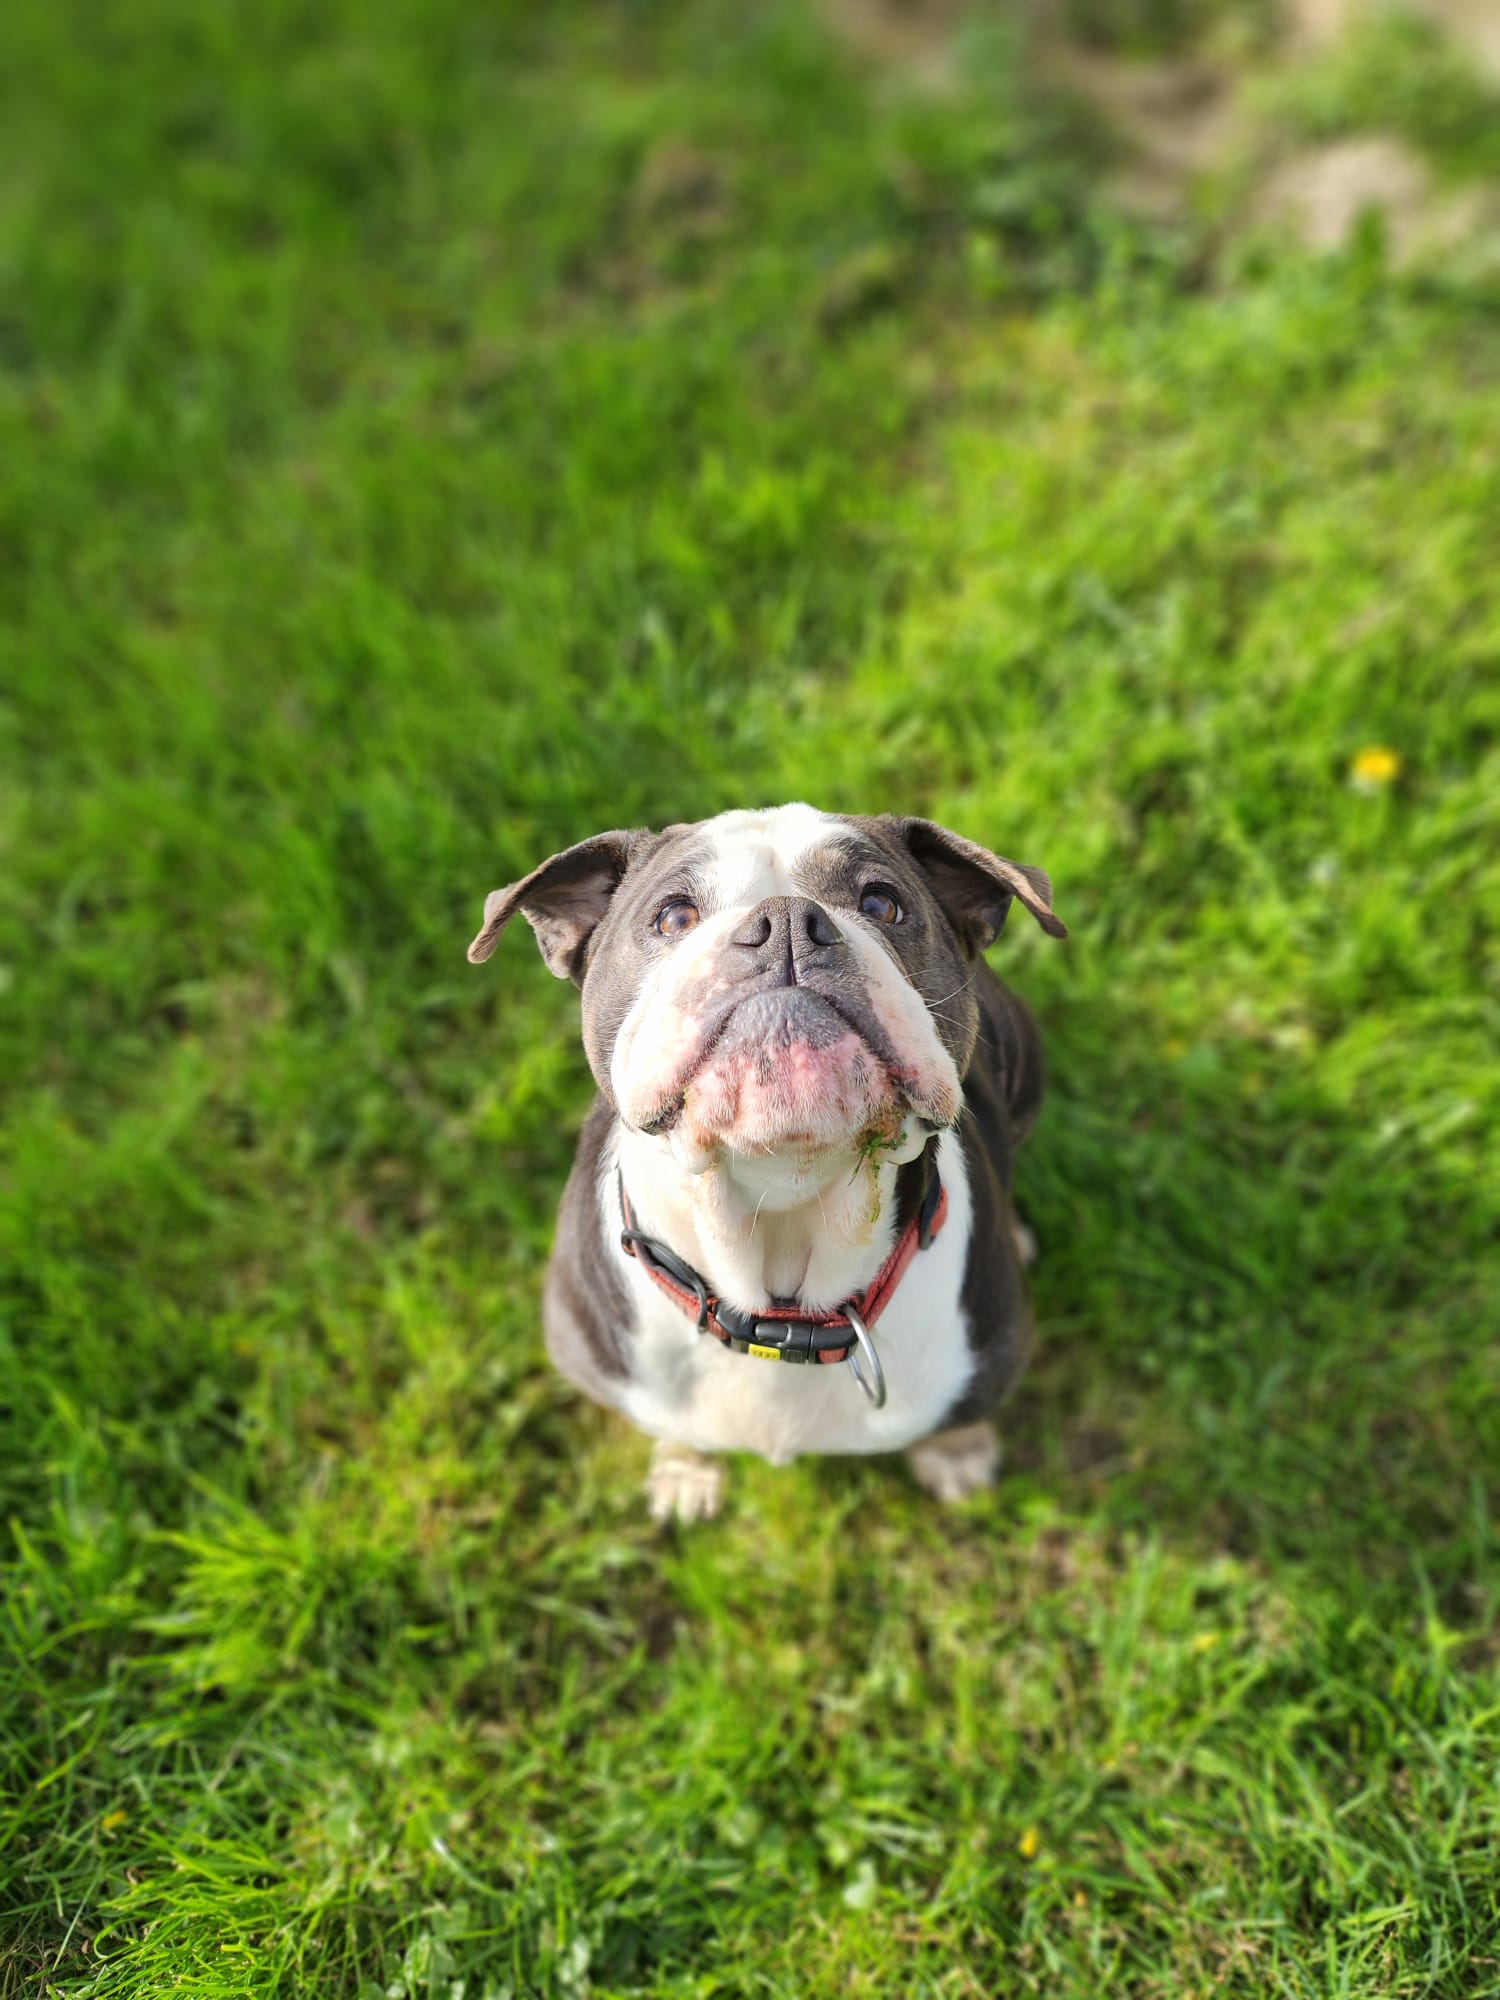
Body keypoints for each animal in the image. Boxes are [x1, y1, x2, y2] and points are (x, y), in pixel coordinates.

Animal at [468, 804, 1066, 1522]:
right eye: (673, 917)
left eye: (882, 904)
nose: (785, 921)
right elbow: (674, 1424)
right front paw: (685, 1471)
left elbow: (959, 1416)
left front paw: (958, 1456)